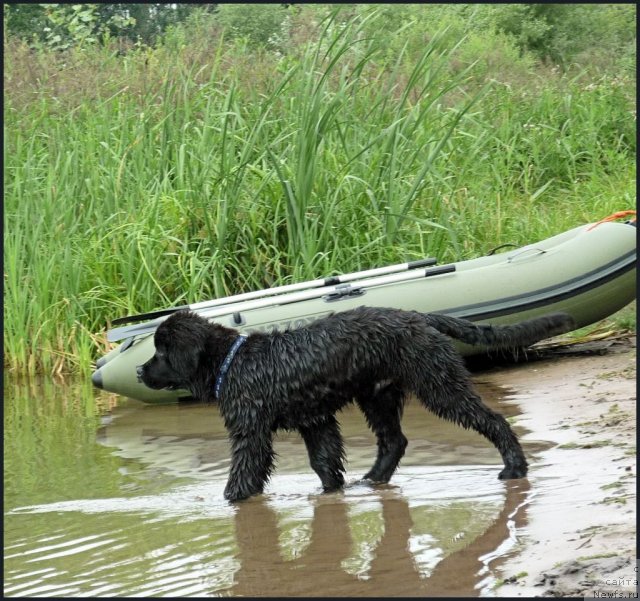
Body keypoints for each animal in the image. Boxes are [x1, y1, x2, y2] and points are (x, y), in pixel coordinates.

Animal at [136, 308, 576, 500]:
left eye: (161, 352)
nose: (140, 371)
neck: (234, 361)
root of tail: (419, 317)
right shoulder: (315, 421)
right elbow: (324, 462)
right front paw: (332, 492)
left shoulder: (250, 432)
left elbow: (244, 474)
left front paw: (230, 500)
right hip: (378, 395)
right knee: (394, 441)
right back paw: (372, 481)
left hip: (438, 385)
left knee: (493, 420)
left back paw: (514, 467)